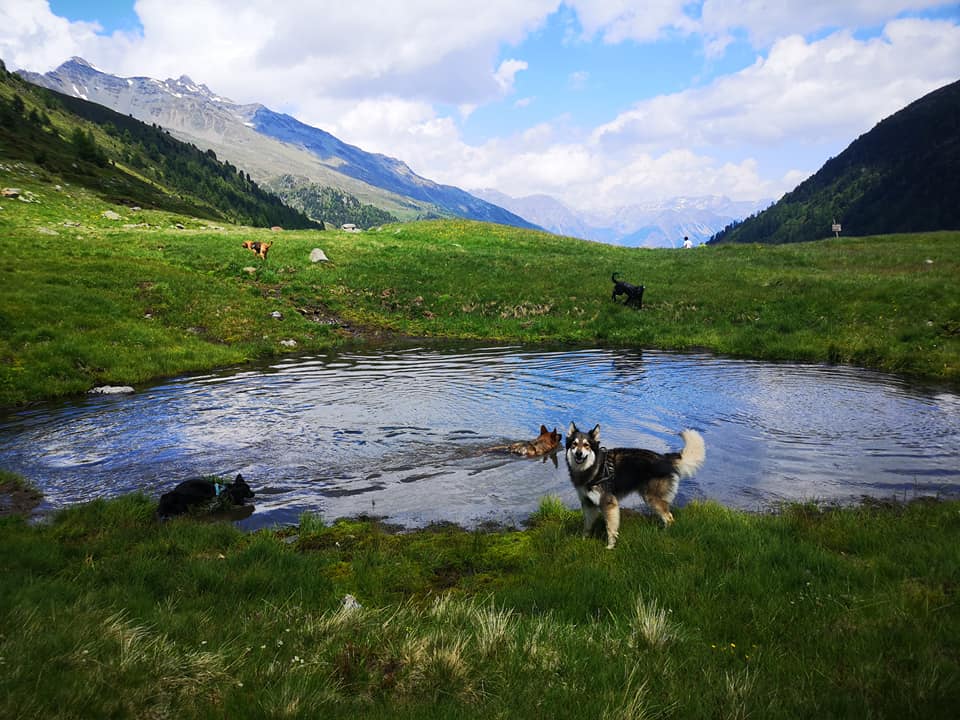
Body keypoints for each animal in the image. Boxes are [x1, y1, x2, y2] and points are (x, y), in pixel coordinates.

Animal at [564, 424, 704, 548]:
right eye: (574, 444)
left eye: (586, 445)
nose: (578, 453)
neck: (595, 468)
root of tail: (664, 458)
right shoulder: (588, 503)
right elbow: (587, 525)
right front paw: (583, 540)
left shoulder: (608, 503)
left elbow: (610, 528)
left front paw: (610, 546)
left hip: (652, 498)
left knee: (669, 518)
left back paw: (664, 534)